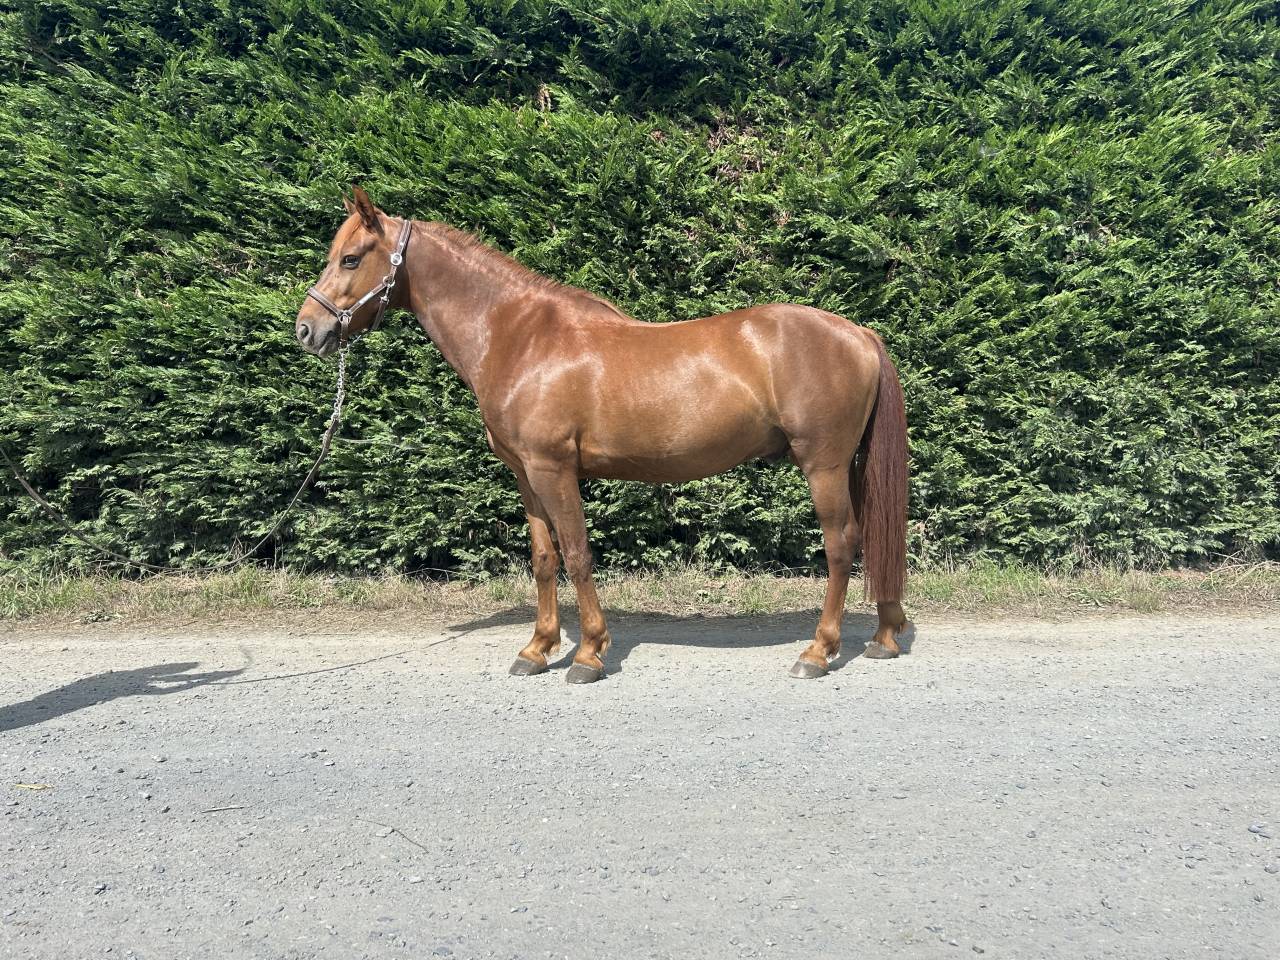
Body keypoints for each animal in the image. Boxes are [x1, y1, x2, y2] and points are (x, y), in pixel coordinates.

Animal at [295, 187, 910, 683]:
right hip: (851, 465)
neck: (518, 337)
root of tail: (858, 332)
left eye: (351, 258)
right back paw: (884, 637)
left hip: (823, 465)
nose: (307, 329)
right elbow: (544, 558)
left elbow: (577, 554)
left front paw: (589, 654)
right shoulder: (526, 475)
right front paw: (537, 649)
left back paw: (818, 652)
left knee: (841, 545)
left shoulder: (554, 469)